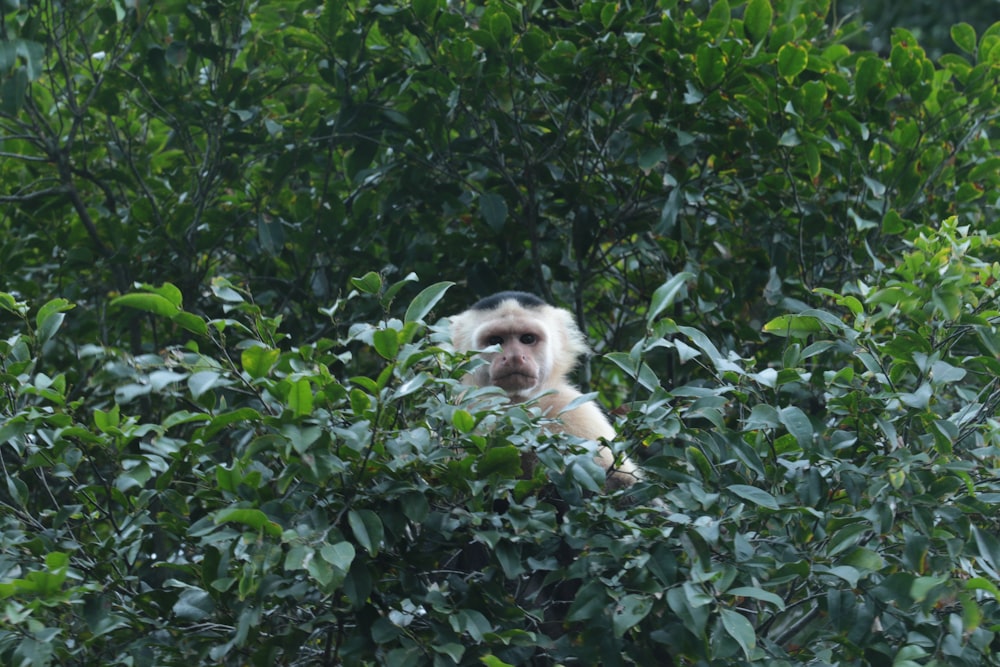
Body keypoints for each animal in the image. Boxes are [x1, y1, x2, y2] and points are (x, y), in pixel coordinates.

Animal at [450, 292, 636, 490]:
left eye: (527, 339)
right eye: (495, 341)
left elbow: (621, 482)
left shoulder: (571, 406)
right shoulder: (465, 406)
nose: (514, 357)